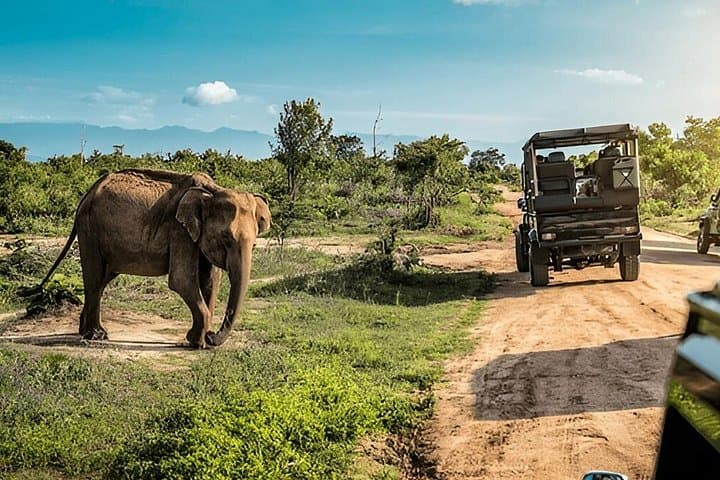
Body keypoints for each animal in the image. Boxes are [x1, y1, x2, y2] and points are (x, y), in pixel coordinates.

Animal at [34, 169, 271, 348]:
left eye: (254, 244)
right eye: (226, 239)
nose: (214, 337)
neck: (212, 191)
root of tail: (86, 195)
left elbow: (211, 281)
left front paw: (201, 341)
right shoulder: (179, 230)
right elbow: (181, 280)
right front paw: (196, 342)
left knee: (102, 279)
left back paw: (86, 331)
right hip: (90, 230)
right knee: (94, 276)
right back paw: (95, 336)